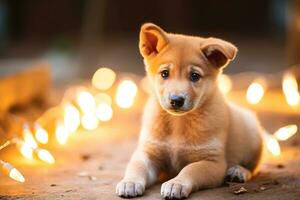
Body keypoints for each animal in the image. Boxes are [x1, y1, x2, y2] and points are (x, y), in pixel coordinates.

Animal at [115, 23, 262, 198]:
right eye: (165, 73)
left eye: (194, 76)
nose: (176, 100)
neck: (178, 122)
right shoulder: (149, 152)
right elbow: (137, 165)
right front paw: (129, 182)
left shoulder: (212, 162)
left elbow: (190, 169)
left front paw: (176, 184)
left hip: (251, 136)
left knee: (253, 167)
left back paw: (238, 171)